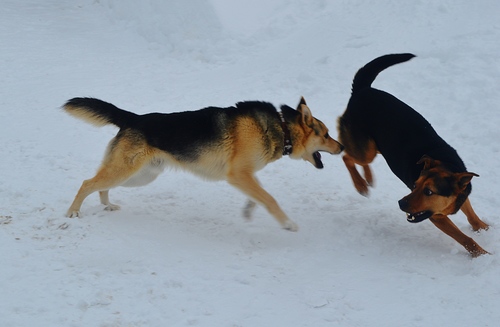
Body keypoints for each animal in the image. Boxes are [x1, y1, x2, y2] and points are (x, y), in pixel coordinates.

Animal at [62, 96, 344, 232]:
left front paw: (248, 211)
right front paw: (287, 223)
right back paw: (73, 212)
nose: (342, 147)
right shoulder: (238, 175)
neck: (281, 128)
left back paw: (107, 205)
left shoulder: (246, 176)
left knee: (100, 185)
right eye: (326, 134)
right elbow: (271, 199)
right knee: (87, 183)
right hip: (126, 171)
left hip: (140, 175)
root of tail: (133, 118)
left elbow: (260, 197)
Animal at [338, 53, 490, 258]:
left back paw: (368, 179)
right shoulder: (437, 217)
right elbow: (463, 237)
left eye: (428, 191)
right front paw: (481, 254)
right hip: (365, 147)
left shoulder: (461, 191)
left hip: (375, 147)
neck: (447, 165)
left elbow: (471, 214)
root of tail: (363, 89)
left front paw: (483, 228)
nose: (400, 203)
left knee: (357, 158)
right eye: (415, 185)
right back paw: (360, 184)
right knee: (346, 156)